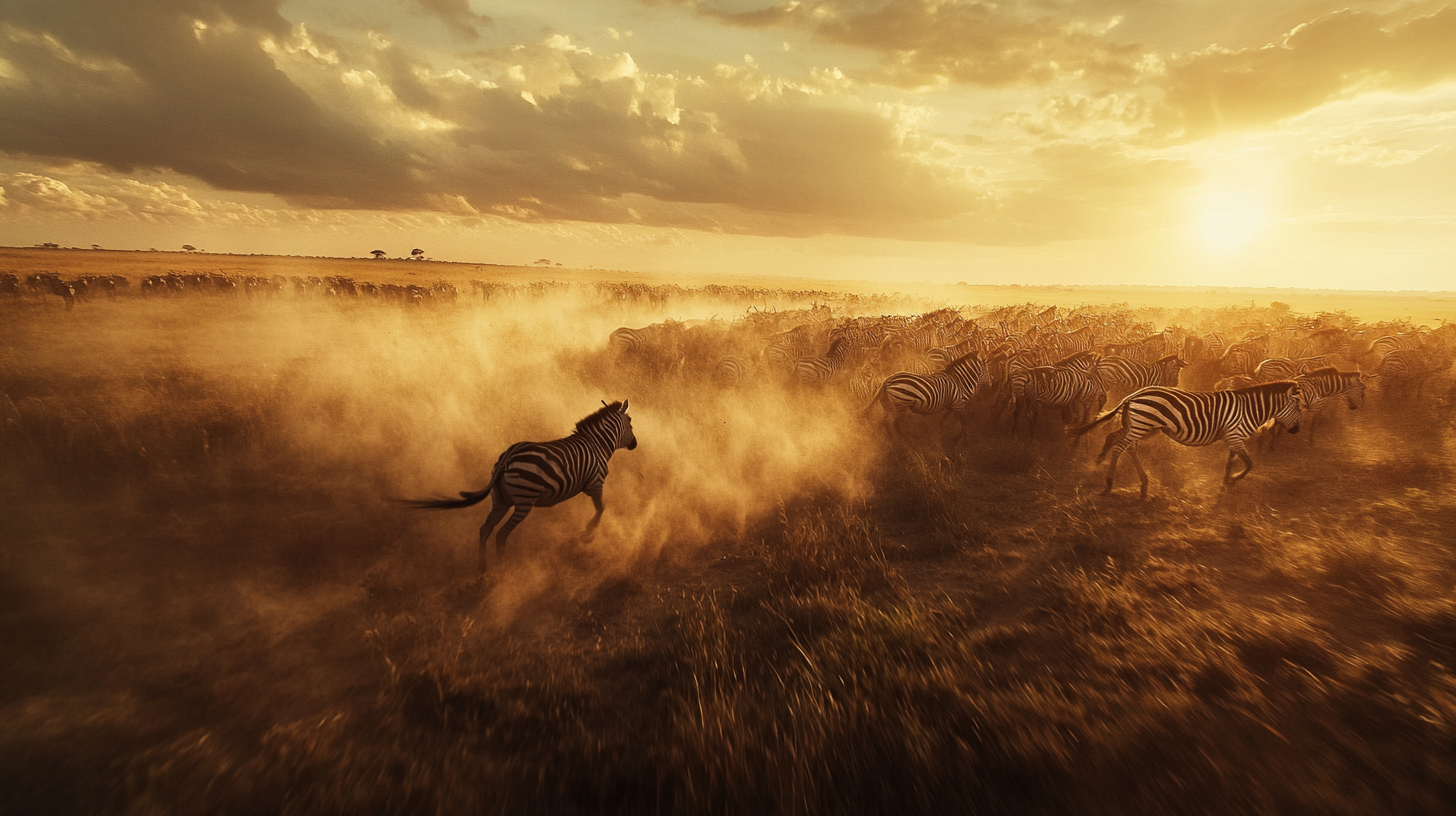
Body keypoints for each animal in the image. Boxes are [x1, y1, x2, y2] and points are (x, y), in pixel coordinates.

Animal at [407, 402, 640, 574]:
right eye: (630, 423)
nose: (635, 445)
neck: (598, 444)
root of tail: (507, 458)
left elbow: (600, 508)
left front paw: (586, 535)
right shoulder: (595, 483)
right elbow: (601, 508)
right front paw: (587, 536)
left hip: (501, 499)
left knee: (485, 529)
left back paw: (483, 567)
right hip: (524, 500)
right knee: (501, 534)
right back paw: (503, 571)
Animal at [861, 349, 990, 440]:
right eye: (987, 369)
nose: (990, 384)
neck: (960, 381)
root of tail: (887, 381)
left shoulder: (952, 405)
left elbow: (945, 418)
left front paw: (942, 431)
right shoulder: (959, 405)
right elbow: (963, 423)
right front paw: (962, 440)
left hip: (888, 405)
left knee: (885, 422)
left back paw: (891, 439)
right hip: (901, 404)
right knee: (893, 423)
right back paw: (904, 440)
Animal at [1071, 381, 1310, 501]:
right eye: (1299, 408)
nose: (1297, 430)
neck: (1250, 410)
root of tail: (1133, 395)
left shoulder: (1233, 437)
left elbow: (1231, 461)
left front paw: (1226, 482)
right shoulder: (1235, 436)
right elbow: (1249, 464)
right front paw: (1233, 481)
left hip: (1142, 426)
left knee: (1123, 444)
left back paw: (1140, 482)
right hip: (1142, 424)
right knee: (1120, 448)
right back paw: (1109, 485)